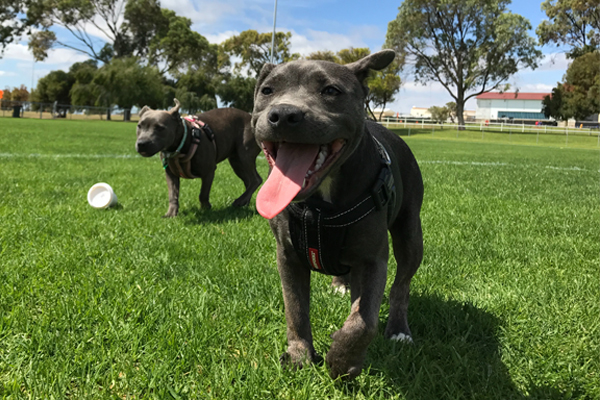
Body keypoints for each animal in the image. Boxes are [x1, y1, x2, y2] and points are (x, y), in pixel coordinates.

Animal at [251, 50, 424, 378]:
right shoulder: (287, 256)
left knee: (401, 286)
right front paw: (300, 354)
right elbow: (295, 308)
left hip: (411, 235)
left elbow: (363, 322)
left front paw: (342, 359)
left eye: (330, 91)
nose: (283, 114)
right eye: (267, 90)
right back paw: (340, 285)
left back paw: (399, 329)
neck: (321, 206)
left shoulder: (372, 260)